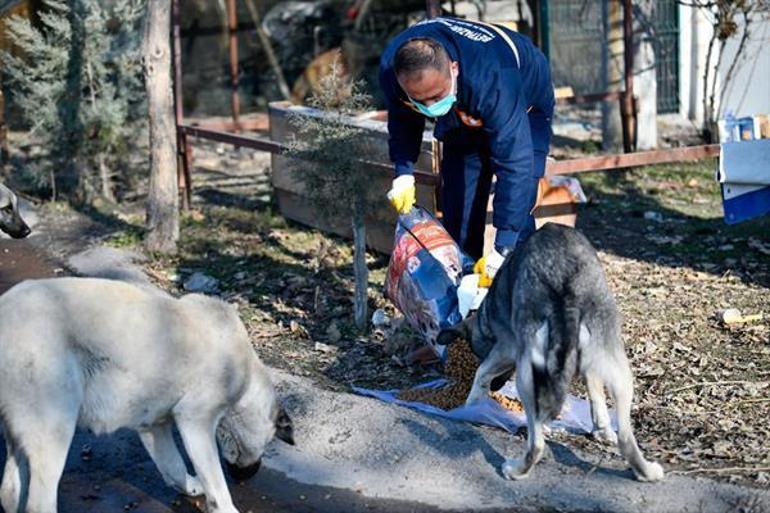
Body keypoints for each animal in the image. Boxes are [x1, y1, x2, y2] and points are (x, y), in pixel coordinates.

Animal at [0, 278, 292, 510]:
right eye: (268, 443)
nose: (249, 475)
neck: (248, 376)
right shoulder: (196, 418)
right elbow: (215, 481)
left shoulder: (154, 425)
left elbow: (172, 465)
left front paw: (191, 486)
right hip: (53, 419)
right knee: (39, 499)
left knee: (9, 490)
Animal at [436, 223, 664, 480]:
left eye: (478, 355)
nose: (496, 388)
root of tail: (566, 286)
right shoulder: (590, 367)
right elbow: (596, 397)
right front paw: (602, 429)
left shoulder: (507, 348)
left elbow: (482, 373)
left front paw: (471, 407)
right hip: (619, 368)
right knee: (625, 437)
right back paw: (647, 471)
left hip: (527, 375)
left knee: (536, 444)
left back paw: (516, 469)